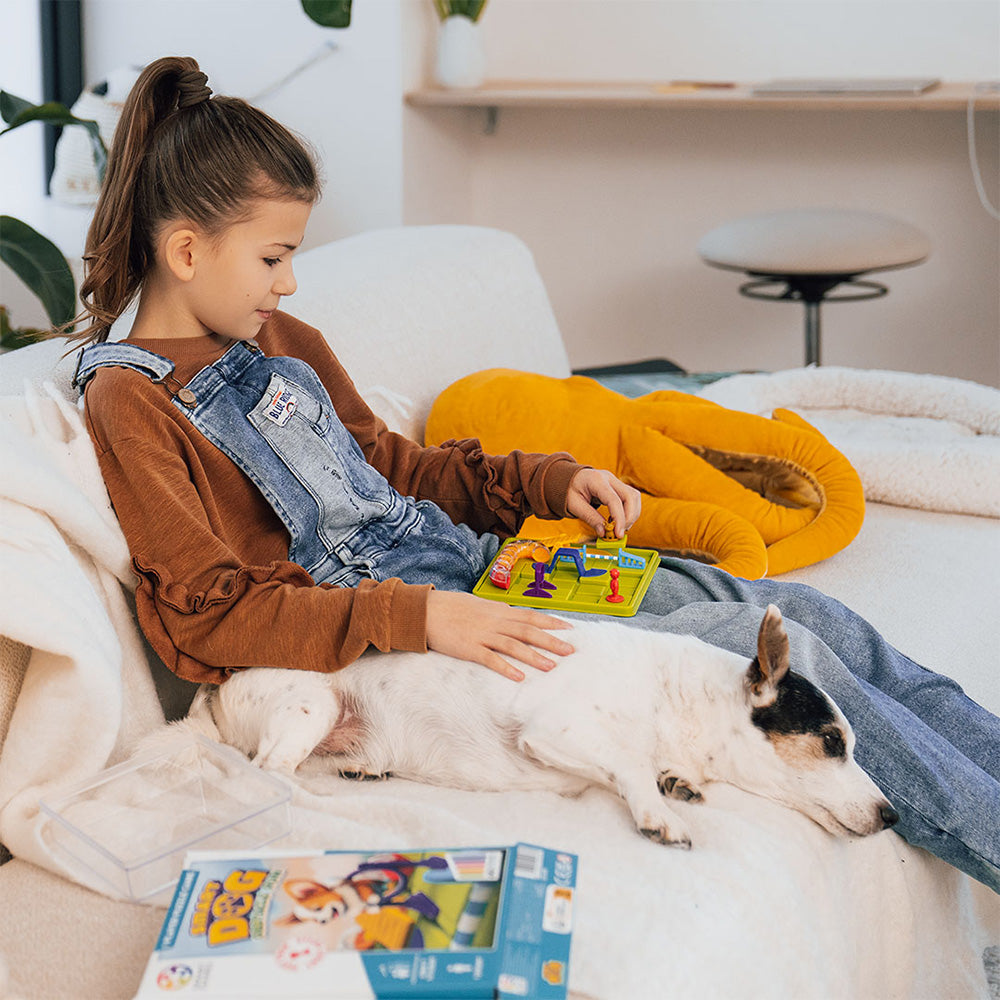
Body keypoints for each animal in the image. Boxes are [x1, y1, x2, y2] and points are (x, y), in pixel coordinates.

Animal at [188, 604, 900, 848]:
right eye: (832, 743)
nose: (893, 816)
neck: (677, 697)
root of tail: (214, 687)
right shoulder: (554, 732)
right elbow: (627, 766)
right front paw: (658, 810)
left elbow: (655, 769)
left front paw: (675, 783)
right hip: (312, 705)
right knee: (270, 772)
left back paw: (363, 769)